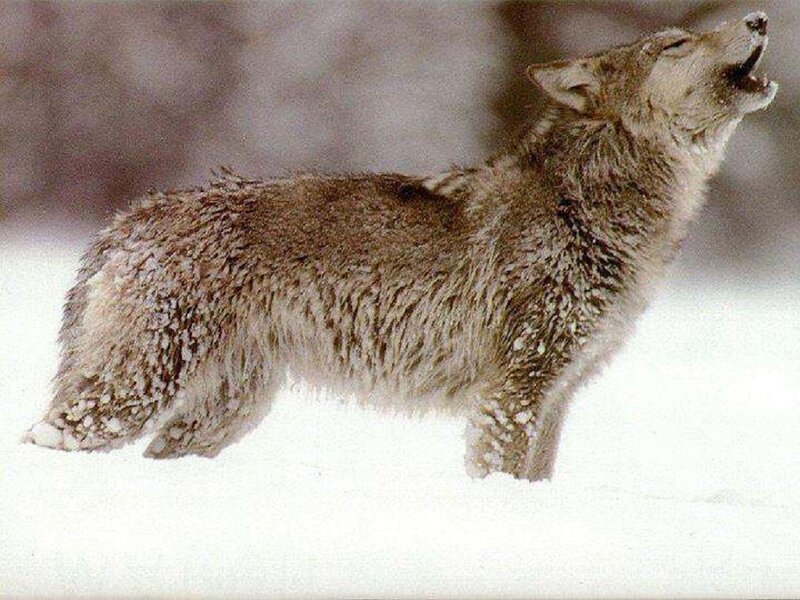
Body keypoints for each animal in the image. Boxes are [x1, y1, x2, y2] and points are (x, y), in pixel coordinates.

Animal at [25, 13, 777, 481]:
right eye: (675, 45)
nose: (762, 17)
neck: (592, 208)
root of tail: (128, 218)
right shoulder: (515, 389)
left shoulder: (559, 394)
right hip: (135, 395)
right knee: (43, 442)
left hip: (223, 414)